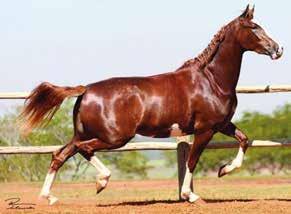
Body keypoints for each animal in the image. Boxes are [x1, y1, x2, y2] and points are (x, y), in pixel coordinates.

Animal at [18, 5, 282, 205]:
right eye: (254, 28)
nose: (278, 49)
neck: (212, 80)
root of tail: (86, 90)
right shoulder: (205, 129)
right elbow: (192, 161)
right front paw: (191, 195)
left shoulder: (222, 124)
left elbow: (244, 140)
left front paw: (223, 170)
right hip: (115, 137)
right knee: (84, 150)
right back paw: (101, 182)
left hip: (83, 133)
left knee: (60, 154)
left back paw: (50, 197)